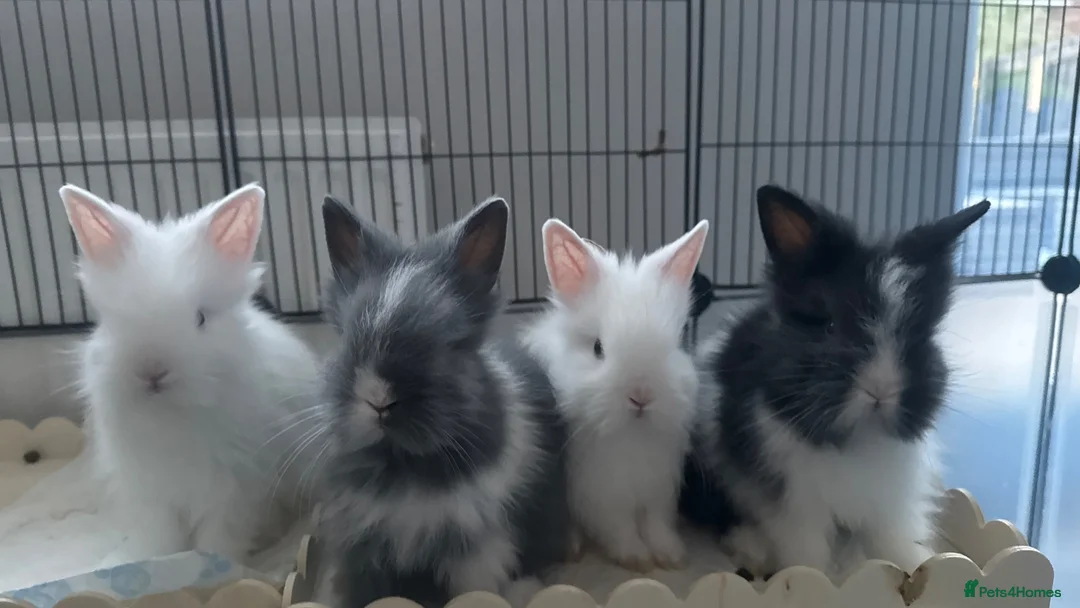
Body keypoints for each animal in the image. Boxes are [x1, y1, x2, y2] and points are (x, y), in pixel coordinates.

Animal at [58, 182, 324, 563]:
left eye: (200, 318)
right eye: (115, 321)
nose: (152, 371)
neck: (171, 417)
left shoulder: (235, 489)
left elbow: (220, 536)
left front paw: (218, 564)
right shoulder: (153, 495)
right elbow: (162, 536)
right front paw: (159, 559)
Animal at [314, 195, 571, 608]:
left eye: (446, 344)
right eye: (348, 339)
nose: (378, 399)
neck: (403, 467)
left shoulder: (473, 548)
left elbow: (475, 590)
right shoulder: (361, 546)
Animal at [521, 218, 710, 573]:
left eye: (676, 343)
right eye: (598, 348)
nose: (641, 396)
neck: (632, 436)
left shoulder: (657, 490)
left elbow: (656, 524)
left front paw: (671, 556)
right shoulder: (601, 495)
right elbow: (619, 527)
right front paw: (637, 559)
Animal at [679, 184, 991, 582]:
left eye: (919, 335)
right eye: (828, 325)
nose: (881, 389)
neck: (858, 438)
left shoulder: (891, 498)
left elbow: (892, 539)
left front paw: (917, 567)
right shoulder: (795, 501)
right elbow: (806, 550)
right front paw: (816, 577)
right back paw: (752, 548)